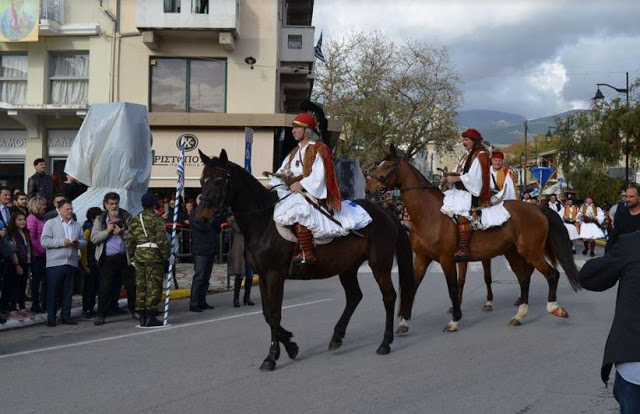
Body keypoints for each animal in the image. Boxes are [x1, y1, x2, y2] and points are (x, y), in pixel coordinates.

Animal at [196, 149, 416, 372]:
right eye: (202, 180)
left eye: (219, 180)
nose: (200, 219)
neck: (263, 220)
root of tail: (385, 213)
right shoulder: (263, 275)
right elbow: (267, 313)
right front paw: (290, 345)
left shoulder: (275, 275)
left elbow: (274, 314)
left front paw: (271, 356)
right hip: (347, 267)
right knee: (355, 296)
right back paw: (337, 337)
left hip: (380, 265)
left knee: (389, 296)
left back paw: (385, 343)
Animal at [364, 144, 580, 332]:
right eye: (378, 165)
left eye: (388, 166)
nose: (368, 188)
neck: (429, 213)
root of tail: (538, 208)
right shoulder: (422, 258)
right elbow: (413, 286)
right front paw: (403, 321)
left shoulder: (446, 259)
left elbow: (453, 287)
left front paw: (454, 320)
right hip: (513, 253)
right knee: (525, 279)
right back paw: (519, 315)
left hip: (531, 252)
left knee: (552, 275)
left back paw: (554, 308)